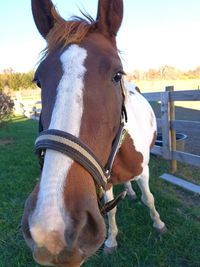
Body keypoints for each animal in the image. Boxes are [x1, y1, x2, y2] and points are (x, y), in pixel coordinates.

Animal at [21, 0, 166, 267]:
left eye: (117, 75)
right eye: (38, 81)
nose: (53, 231)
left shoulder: (144, 171)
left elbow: (149, 198)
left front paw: (159, 224)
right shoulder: (103, 180)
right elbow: (112, 211)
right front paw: (111, 241)